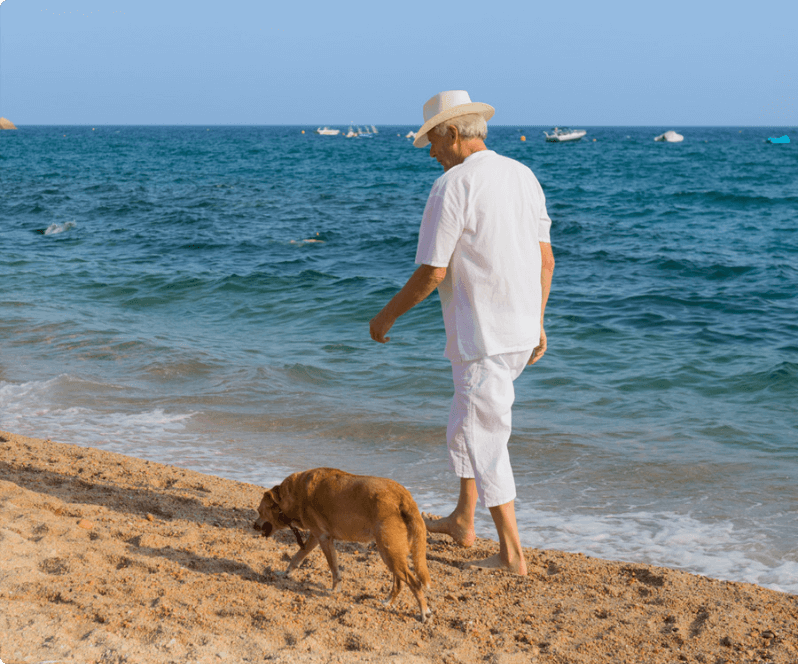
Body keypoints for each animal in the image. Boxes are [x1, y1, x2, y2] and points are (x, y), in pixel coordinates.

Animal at [255, 470, 432, 620]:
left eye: (259, 511)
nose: (253, 526)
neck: (294, 494)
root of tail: (404, 496)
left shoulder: (323, 538)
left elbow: (333, 568)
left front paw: (334, 590)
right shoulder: (315, 537)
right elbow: (297, 557)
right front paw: (286, 573)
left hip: (389, 553)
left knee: (415, 583)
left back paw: (424, 613)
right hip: (393, 552)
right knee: (400, 583)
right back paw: (388, 602)